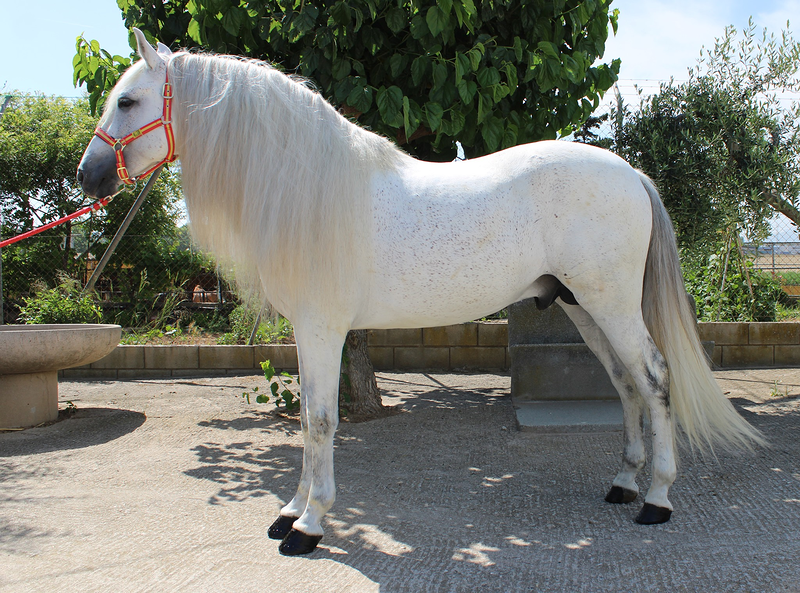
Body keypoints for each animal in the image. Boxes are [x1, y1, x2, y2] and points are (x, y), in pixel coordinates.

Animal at [77, 29, 765, 556]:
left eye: (129, 101)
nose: (87, 176)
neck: (310, 187)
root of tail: (631, 174)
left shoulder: (323, 329)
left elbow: (321, 422)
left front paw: (310, 524)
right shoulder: (307, 331)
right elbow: (306, 420)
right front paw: (290, 510)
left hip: (612, 304)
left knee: (654, 379)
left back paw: (657, 499)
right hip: (584, 308)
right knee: (626, 385)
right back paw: (624, 482)